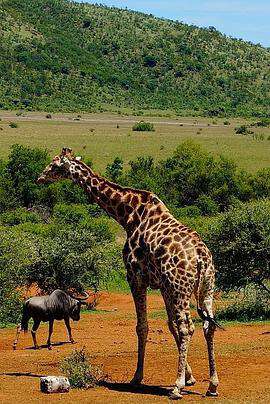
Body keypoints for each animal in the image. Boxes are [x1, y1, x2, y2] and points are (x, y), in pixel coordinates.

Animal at [37, 148, 219, 398]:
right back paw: (212, 385)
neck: (128, 216)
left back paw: (176, 387)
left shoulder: (135, 278)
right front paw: (190, 377)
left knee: (187, 327)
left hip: (180, 287)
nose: (39, 177)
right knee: (208, 325)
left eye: (55, 165)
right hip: (206, 286)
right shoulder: (163, 285)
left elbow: (143, 327)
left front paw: (137, 377)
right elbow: (169, 324)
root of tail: (201, 257)